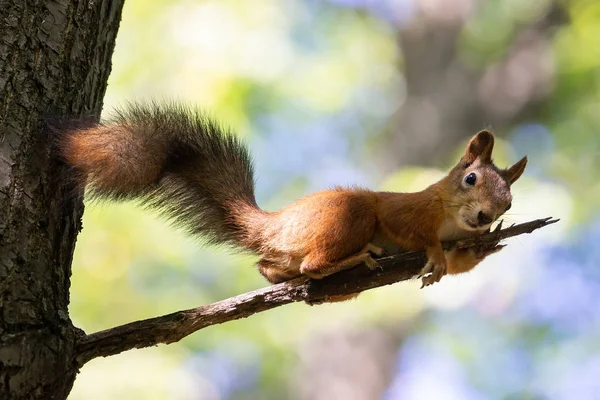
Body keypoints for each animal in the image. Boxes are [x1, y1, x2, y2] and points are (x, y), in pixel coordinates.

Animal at [56, 103, 524, 296]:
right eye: (470, 179)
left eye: (509, 203)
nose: (485, 216)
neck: (450, 219)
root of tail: (275, 223)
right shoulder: (407, 210)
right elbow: (411, 230)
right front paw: (435, 253)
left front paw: (485, 246)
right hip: (348, 216)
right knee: (314, 264)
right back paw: (353, 259)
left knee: (271, 266)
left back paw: (284, 276)